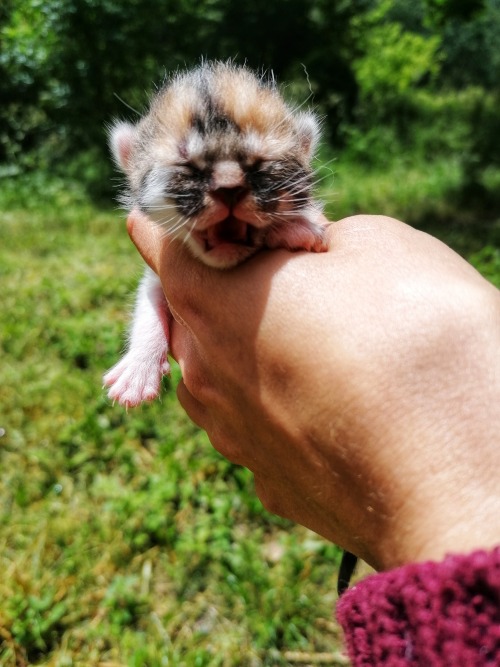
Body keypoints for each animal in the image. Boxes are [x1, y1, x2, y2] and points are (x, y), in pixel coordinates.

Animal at [103, 61, 328, 408]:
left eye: (260, 163)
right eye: (186, 165)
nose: (229, 187)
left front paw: (296, 226)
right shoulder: (156, 276)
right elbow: (147, 305)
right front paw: (138, 370)